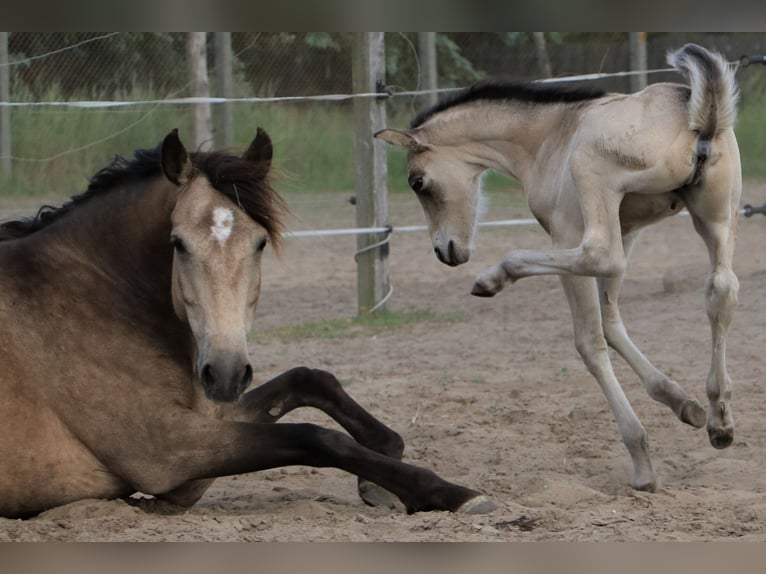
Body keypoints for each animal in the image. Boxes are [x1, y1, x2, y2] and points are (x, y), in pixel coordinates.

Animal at [0, 128, 498, 520]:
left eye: (259, 243)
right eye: (177, 243)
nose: (224, 373)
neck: (96, 296)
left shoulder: (209, 420)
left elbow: (310, 380)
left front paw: (383, 465)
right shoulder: (167, 451)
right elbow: (317, 437)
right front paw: (450, 493)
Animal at [378, 46, 744, 496]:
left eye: (417, 182)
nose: (445, 251)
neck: (549, 136)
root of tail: (697, 111)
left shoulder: (568, 230)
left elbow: (592, 337)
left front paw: (642, 458)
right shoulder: (630, 228)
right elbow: (611, 321)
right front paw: (681, 402)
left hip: (590, 184)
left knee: (597, 260)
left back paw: (495, 276)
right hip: (717, 220)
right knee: (721, 290)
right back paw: (719, 419)